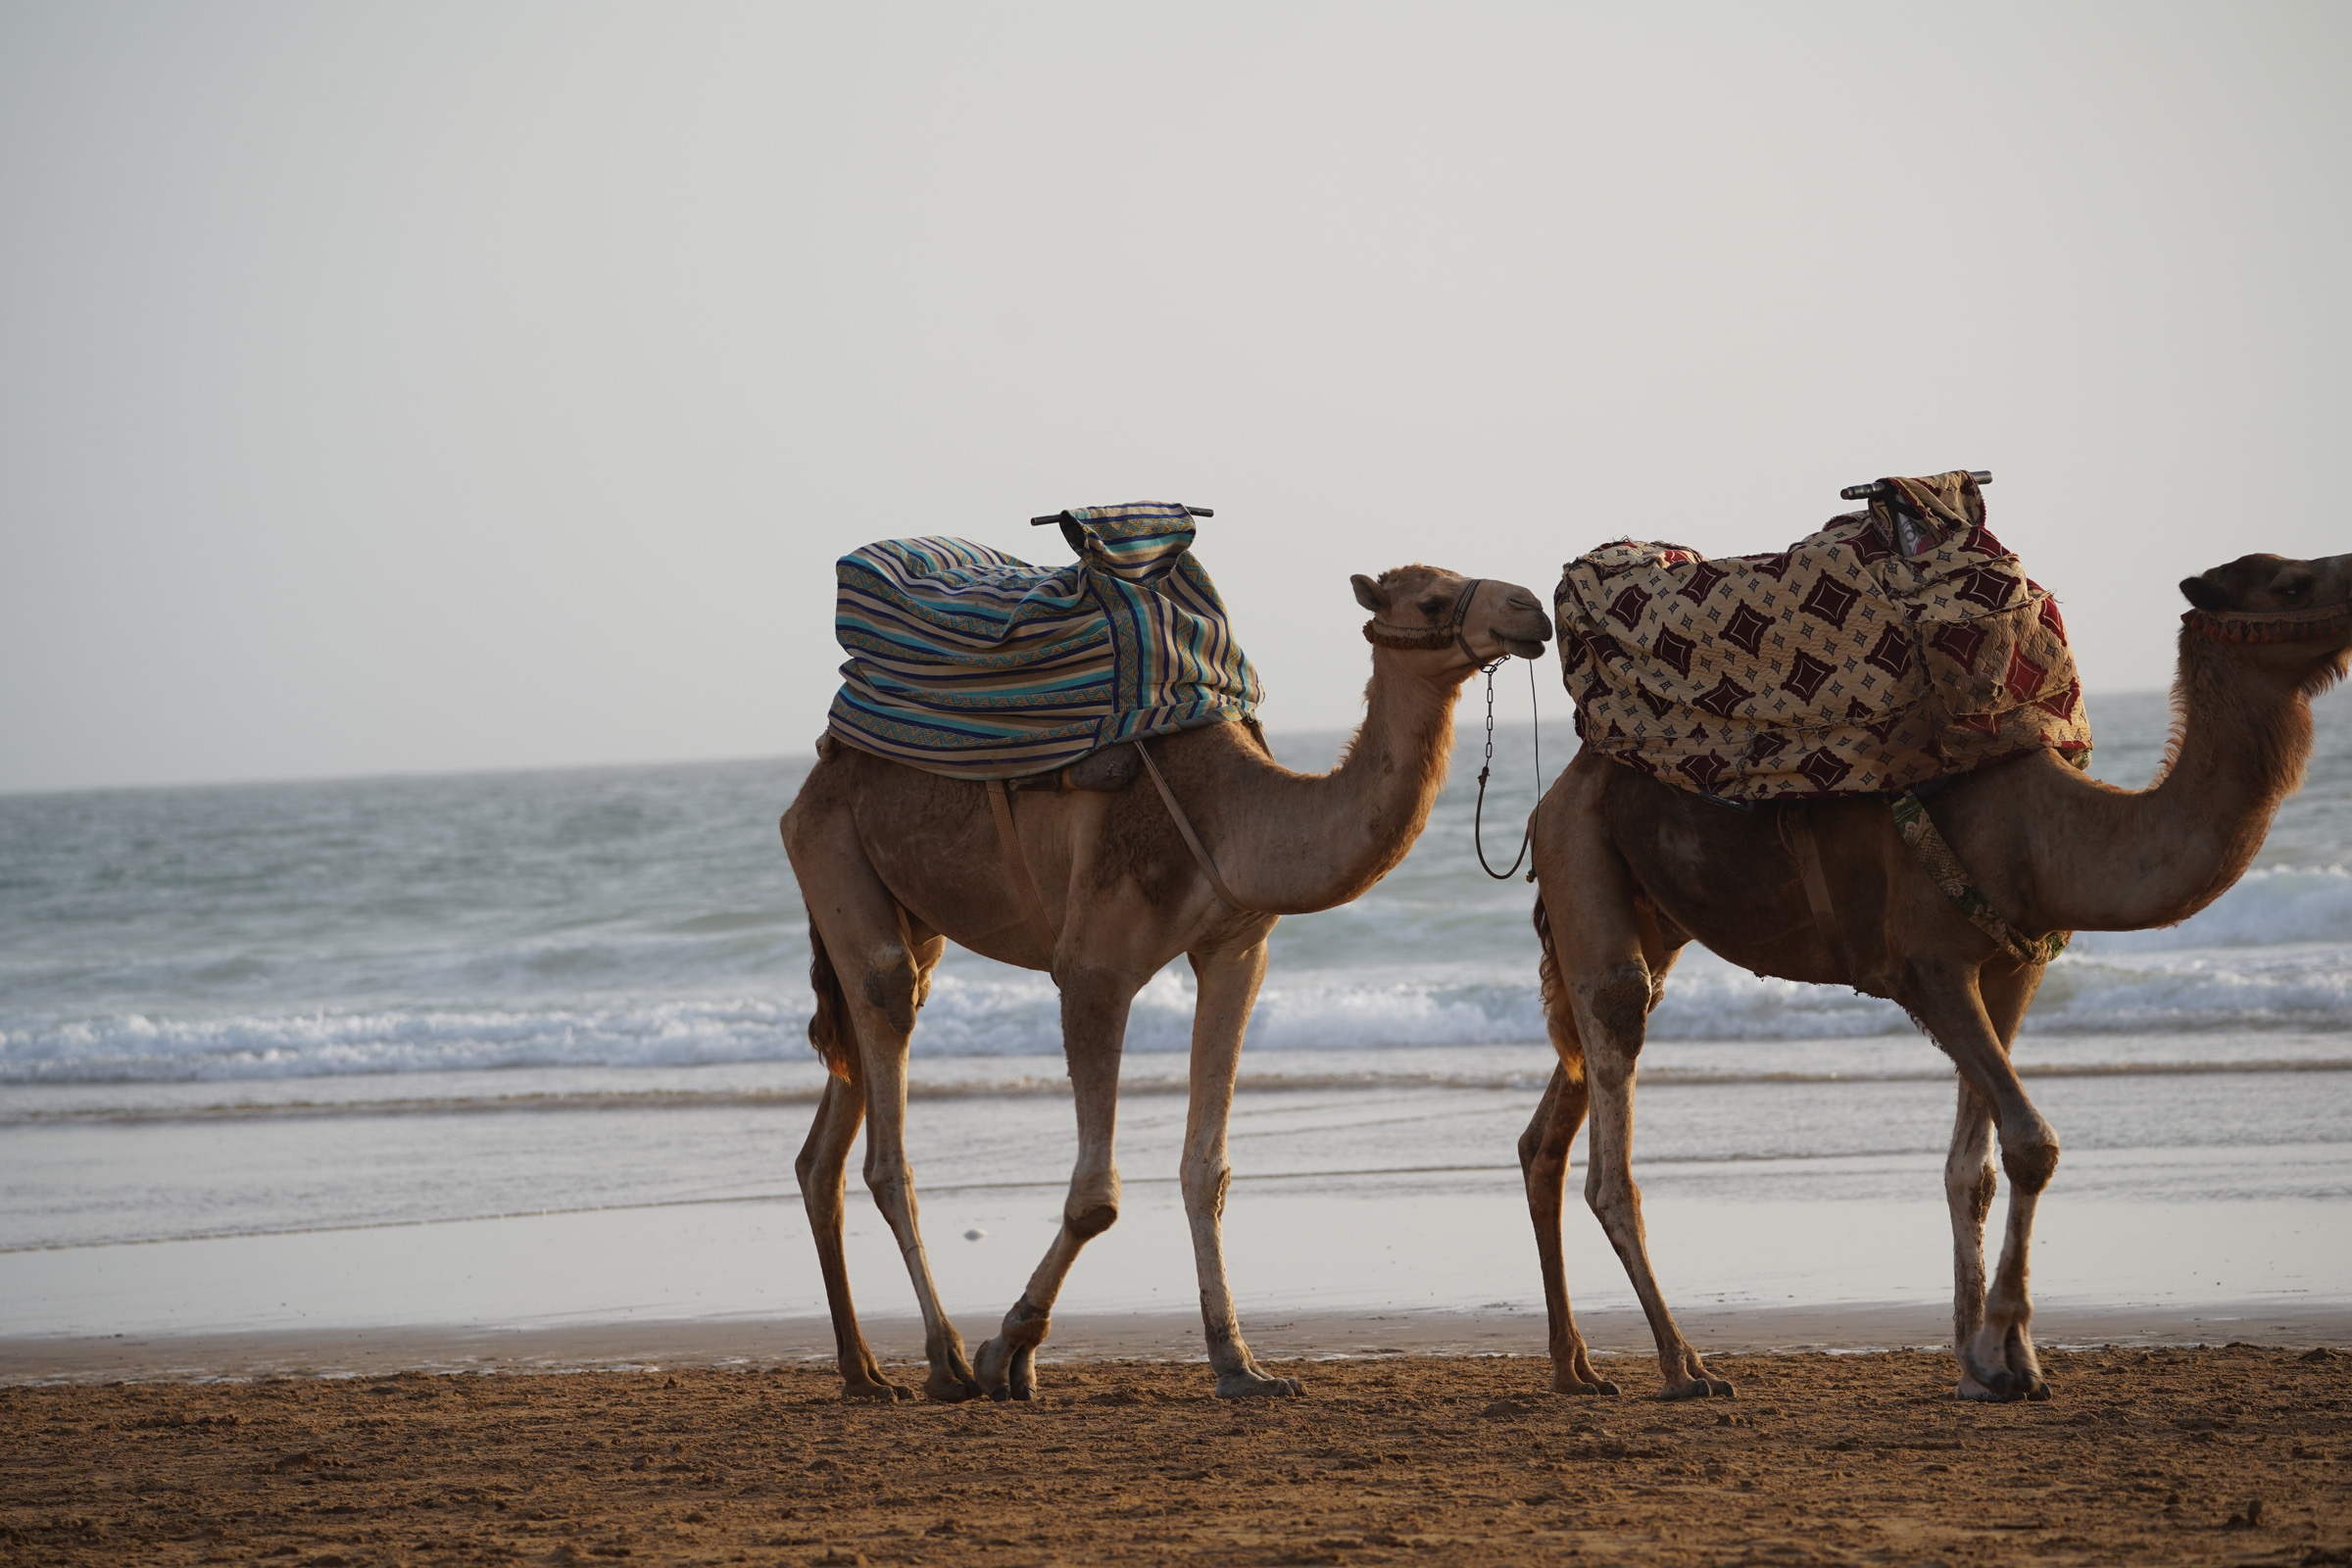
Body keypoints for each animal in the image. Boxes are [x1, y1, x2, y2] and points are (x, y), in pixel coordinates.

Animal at [790, 562, 1561, 1400]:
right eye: (1429, 599)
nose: (1531, 609)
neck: (1231, 815)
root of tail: (819, 769)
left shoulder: (1237, 951)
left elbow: (1207, 1171)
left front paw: (1240, 1363)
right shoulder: (1093, 969)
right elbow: (1096, 1198)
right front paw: (1010, 1348)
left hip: (908, 908)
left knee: (828, 1138)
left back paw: (864, 1371)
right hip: (832, 849)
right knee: (885, 1080)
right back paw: (946, 1358)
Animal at [1514, 550, 2342, 1400]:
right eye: (2293, 584)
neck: (2046, 832)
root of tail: (1555, 792)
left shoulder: (2011, 969)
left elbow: (1974, 1168)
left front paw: (1987, 1365)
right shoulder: (1925, 967)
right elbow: (2031, 1143)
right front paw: (2010, 1349)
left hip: (1650, 911)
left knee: (1553, 1118)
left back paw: (1575, 1366)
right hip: (1581, 854)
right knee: (1614, 1084)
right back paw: (1684, 1366)